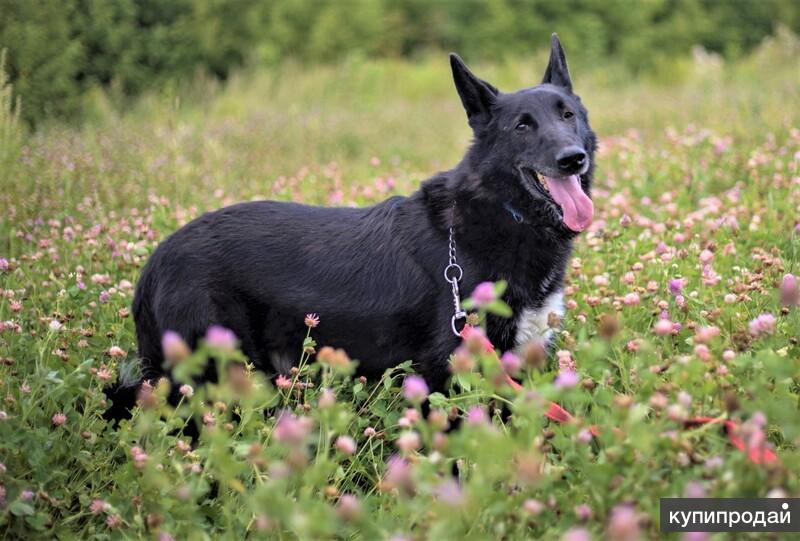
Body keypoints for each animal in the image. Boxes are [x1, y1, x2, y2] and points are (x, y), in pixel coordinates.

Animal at [108, 33, 592, 416]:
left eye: (567, 115)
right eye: (522, 126)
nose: (573, 158)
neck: (502, 214)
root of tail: (152, 266)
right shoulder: (448, 372)